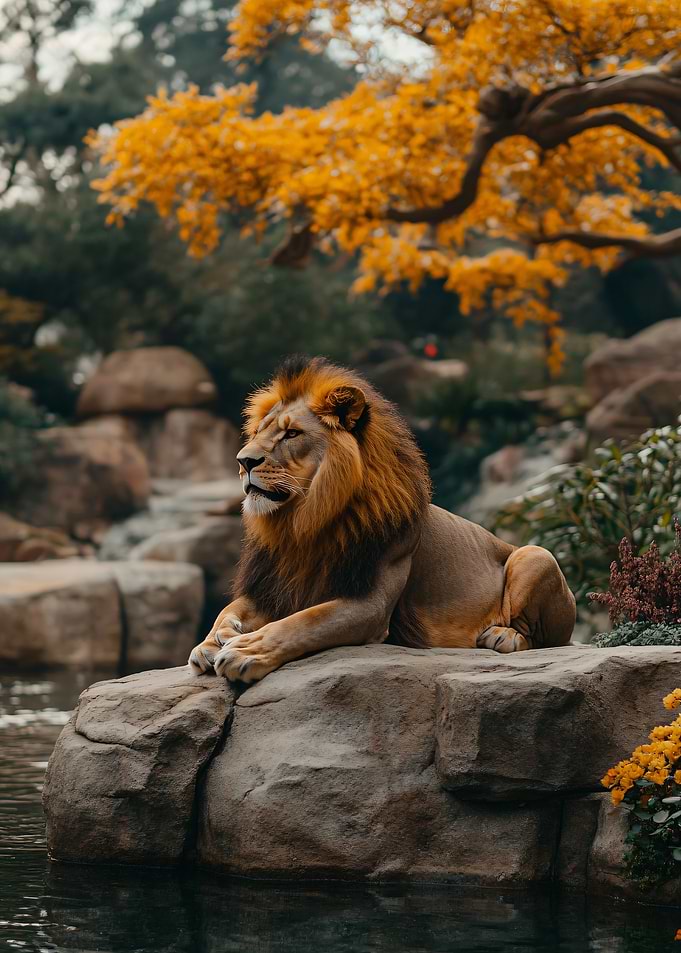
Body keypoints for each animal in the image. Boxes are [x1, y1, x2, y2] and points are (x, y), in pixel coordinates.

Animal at [189, 355, 575, 683]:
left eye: (292, 433)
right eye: (258, 433)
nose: (243, 461)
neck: (303, 522)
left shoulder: (370, 605)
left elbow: (302, 623)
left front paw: (247, 651)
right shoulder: (270, 586)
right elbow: (229, 610)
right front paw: (213, 641)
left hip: (536, 555)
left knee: (543, 638)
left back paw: (502, 635)